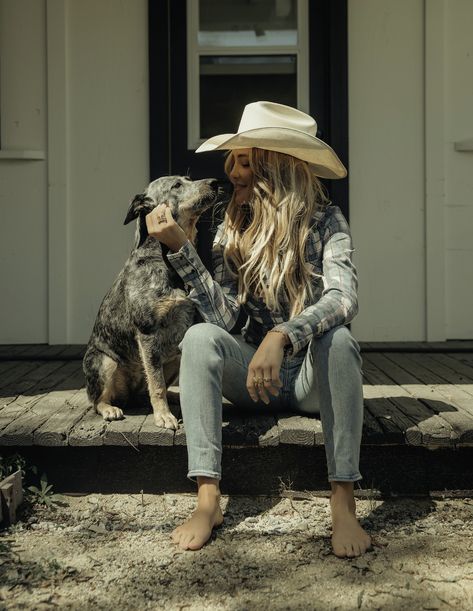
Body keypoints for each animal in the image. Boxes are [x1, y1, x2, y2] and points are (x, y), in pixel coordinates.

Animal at [82, 175, 222, 428]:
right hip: (105, 362)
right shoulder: (147, 332)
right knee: (97, 400)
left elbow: (162, 383)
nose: (215, 182)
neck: (166, 258)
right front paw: (163, 416)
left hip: (175, 356)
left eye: (189, 179)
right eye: (177, 185)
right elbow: (156, 384)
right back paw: (110, 408)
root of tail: (129, 395)